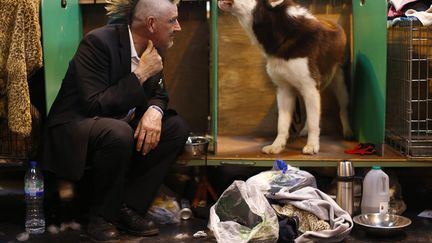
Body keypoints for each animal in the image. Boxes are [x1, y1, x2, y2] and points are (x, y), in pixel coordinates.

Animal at [219, 0, 352, 155]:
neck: (282, 32)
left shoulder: (310, 87)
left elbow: (314, 121)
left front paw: (312, 145)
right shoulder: (284, 89)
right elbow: (282, 123)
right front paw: (277, 145)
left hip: (341, 85)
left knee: (343, 108)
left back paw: (348, 131)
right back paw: (305, 129)